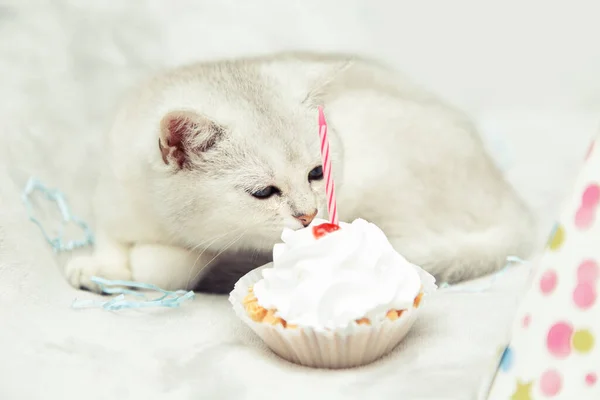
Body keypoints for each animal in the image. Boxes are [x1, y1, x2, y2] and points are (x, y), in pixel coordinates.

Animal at [64, 52, 536, 294]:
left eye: (316, 172)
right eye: (263, 192)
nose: (309, 215)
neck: (159, 220)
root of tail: (513, 203)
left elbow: (164, 268)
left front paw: (136, 264)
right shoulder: (112, 191)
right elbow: (108, 236)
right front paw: (95, 265)